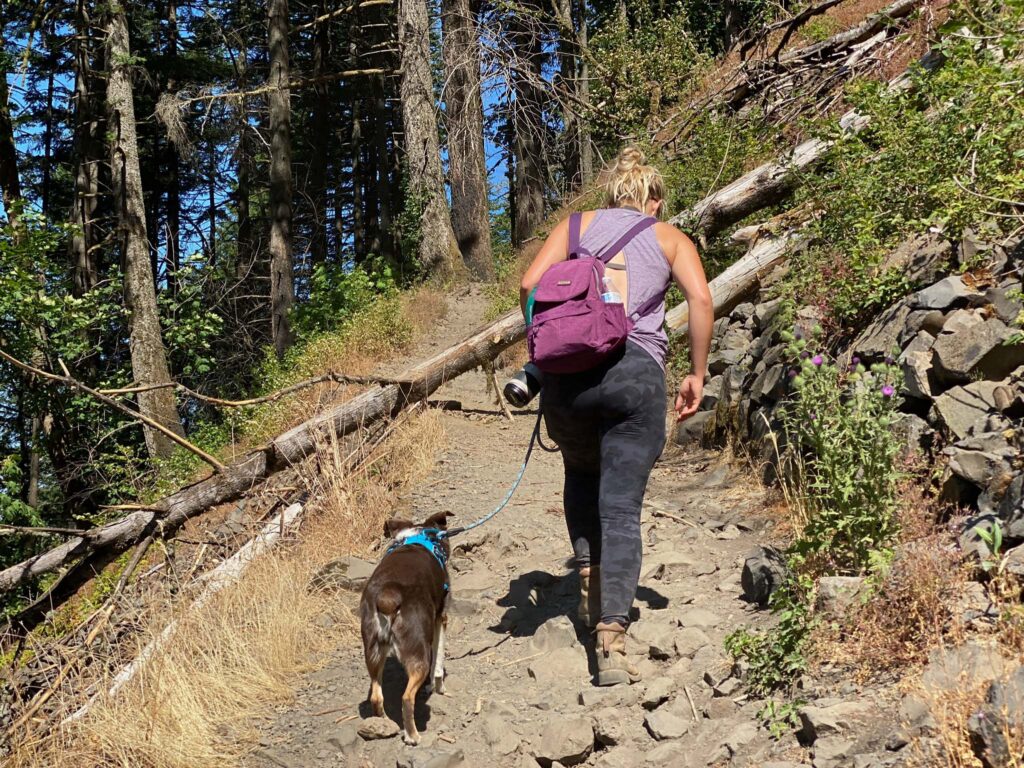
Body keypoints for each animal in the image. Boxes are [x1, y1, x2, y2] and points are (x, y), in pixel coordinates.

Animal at [362, 512, 454, 745]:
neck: (417, 536)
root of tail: (388, 597)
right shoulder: (441, 618)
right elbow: (438, 663)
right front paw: (438, 687)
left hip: (373, 652)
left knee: (376, 696)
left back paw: (386, 725)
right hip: (418, 652)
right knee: (406, 697)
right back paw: (413, 736)